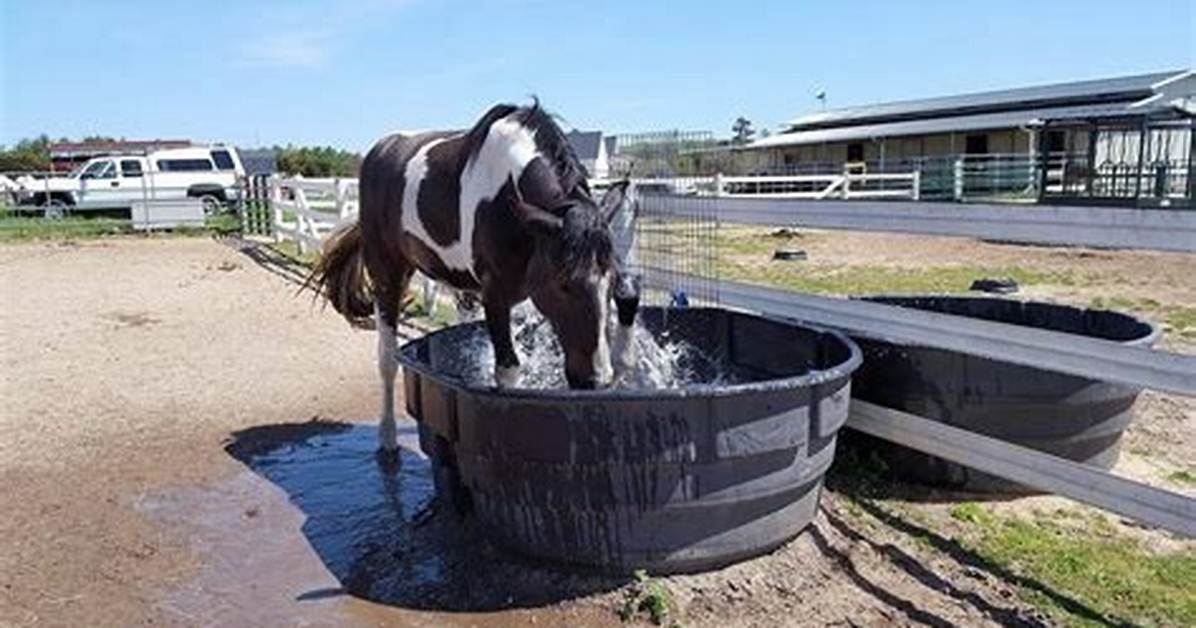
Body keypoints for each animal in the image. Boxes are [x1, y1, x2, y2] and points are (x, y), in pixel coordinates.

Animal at [309, 102, 639, 452]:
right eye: (563, 284)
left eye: (608, 283)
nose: (596, 380)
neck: (507, 195)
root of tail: (378, 151)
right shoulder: (495, 294)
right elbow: (508, 372)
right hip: (387, 272)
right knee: (387, 357)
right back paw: (387, 436)